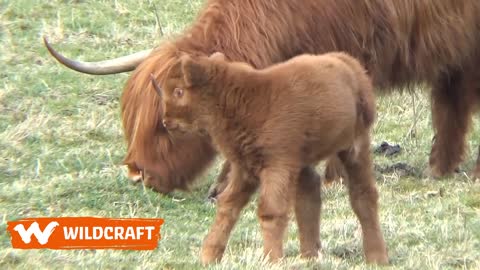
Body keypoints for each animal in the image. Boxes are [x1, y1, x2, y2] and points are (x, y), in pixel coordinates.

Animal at [152, 51, 388, 264]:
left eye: (179, 91)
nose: (166, 121)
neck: (242, 98)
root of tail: (350, 64)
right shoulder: (245, 167)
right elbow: (228, 205)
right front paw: (209, 257)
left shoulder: (276, 166)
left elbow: (270, 212)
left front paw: (271, 260)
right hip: (302, 159)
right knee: (309, 193)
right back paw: (309, 257)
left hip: (355, 145)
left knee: (363, 195)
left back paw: (377, 258)